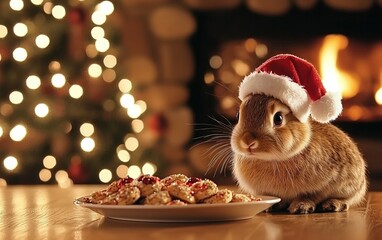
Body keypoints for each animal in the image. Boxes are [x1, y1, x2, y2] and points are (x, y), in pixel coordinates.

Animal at [230, 54, 368, 214]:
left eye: (278, 118)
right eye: (238, 115)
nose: (247, 141)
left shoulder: (326, 183)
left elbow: (312, 195)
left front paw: (301, 206)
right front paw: (270, 206)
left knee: (348, 200)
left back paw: (333, 204)